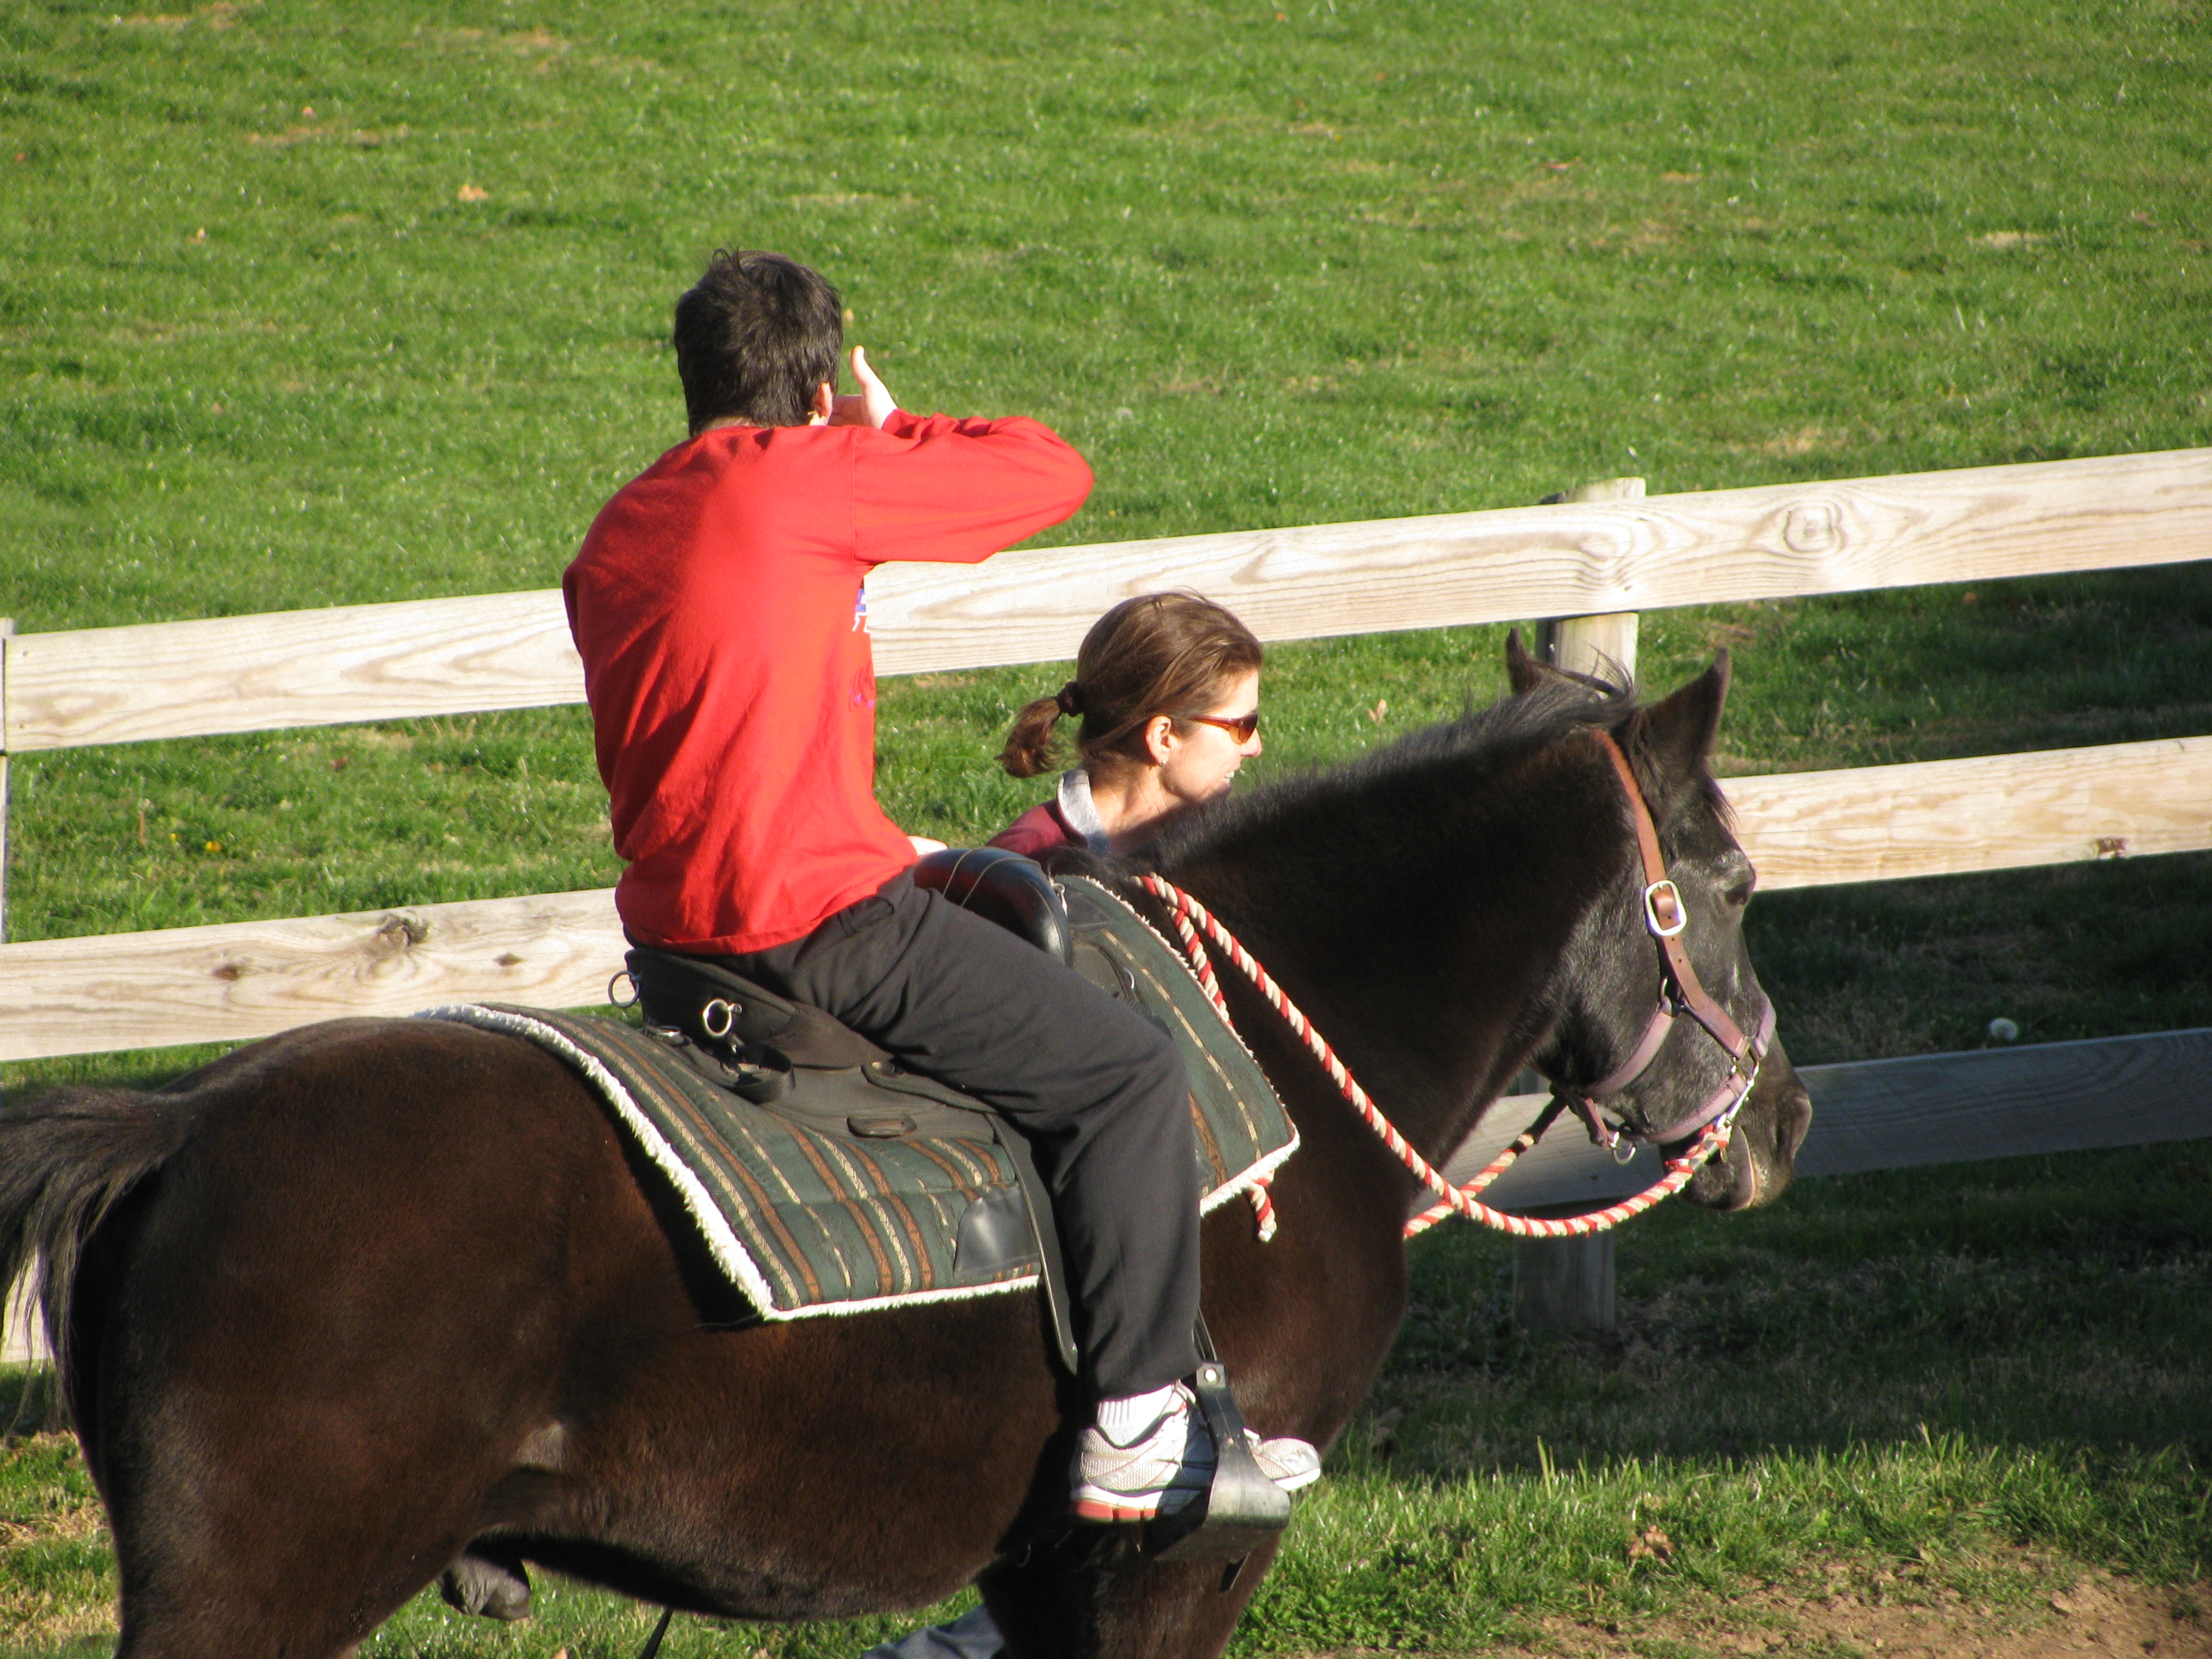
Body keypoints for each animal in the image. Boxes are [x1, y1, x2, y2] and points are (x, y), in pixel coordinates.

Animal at [0, 639, 1811, 1659]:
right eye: (1730, 881)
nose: (1786, 1118)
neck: (1283, 1060)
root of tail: (172, 1123)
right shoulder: (1179, 1567)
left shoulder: (1039, 1574)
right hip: (252, 1596)